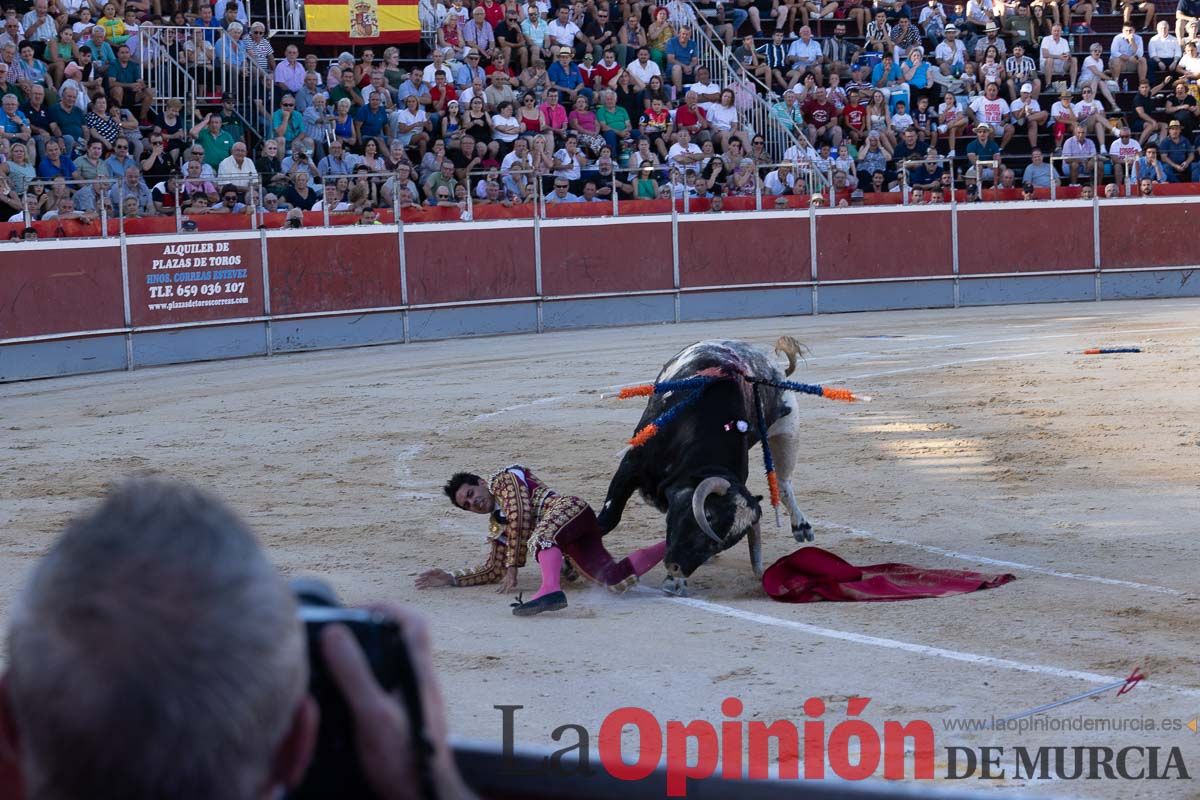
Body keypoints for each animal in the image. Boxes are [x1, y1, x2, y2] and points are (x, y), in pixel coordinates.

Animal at [595, 335, 811, 594]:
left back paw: (801, 526)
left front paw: (675, 582)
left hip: (787, 429)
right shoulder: (631, 465)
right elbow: (608, 519)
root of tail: (774, 367)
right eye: (707, 515)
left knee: (784, 481)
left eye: (727, 541)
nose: (677, 568)